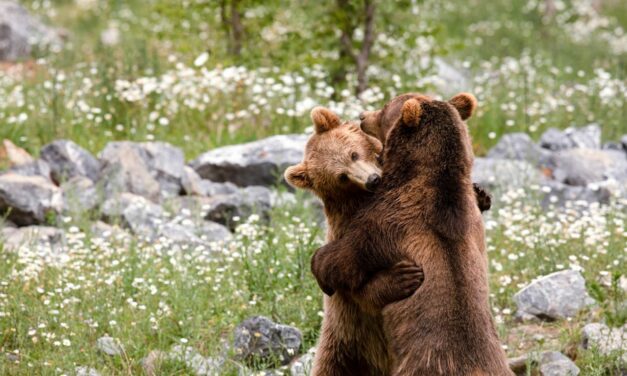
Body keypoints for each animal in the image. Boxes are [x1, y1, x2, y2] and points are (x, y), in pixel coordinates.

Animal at [286, 107, 426, 374]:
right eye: (341, 177)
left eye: (353, 154)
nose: (373, 180)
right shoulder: (348, 233)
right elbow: (355, 285)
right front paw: (401, 277)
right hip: (341, 349)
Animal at [312, 94, 512, 376]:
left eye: (385, 108)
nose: (362, 116)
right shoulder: (471, 221)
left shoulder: (386, 221)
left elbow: (346, 260)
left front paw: (320, 264)